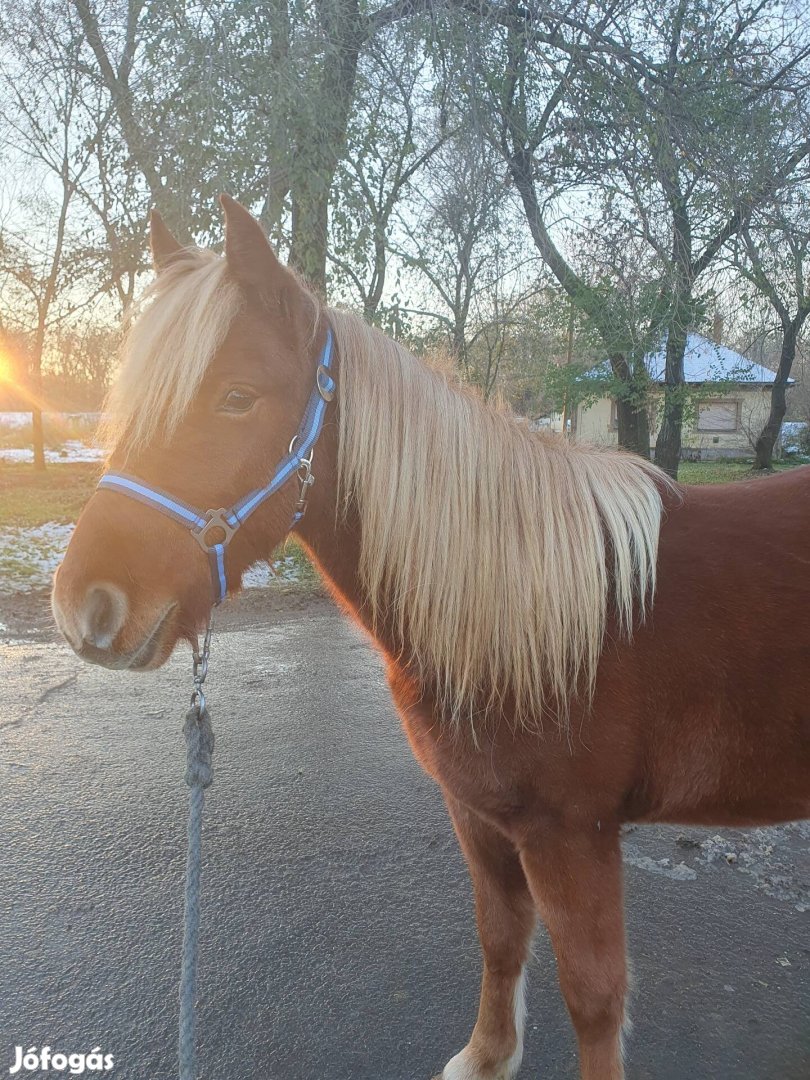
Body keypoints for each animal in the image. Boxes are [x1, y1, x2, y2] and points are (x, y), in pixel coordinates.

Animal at [54, 196, 807, 1080]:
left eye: (237, 396)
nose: (86, 604)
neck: (533, 608)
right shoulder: (480, 815)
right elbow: (499, 938)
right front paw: (486, 1057)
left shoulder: (573, 834)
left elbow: (593, 996)